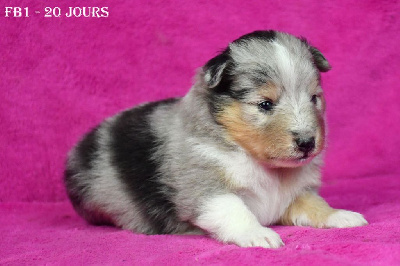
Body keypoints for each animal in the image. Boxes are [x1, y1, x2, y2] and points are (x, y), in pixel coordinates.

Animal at [65, 30, 368, 248]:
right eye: (265, 104)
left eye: (314, 98)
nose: (307, 143)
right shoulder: (203, 187)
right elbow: (234, 210)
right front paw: (258, 234)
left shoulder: (294, 193)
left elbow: (315, 204)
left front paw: (340, 215)